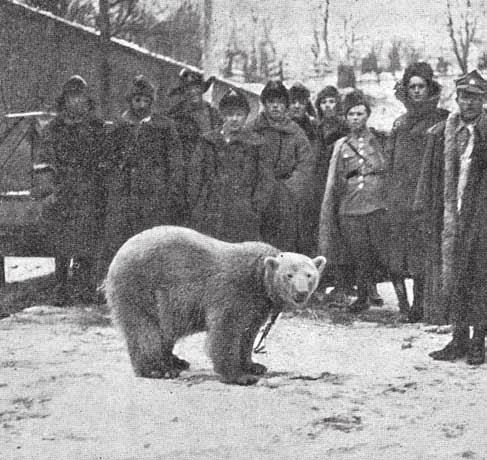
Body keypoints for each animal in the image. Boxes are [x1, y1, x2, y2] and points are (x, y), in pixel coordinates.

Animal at [107, 226, 328, 384]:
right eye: (289, 275)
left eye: (310, 275)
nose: (301, 293)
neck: (259, 277)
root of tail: (117, 256)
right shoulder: (233, 289)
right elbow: (226, 331)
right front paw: (240, 376)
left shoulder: (258, 305)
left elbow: (248, 333)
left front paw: (254, 365)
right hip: (140, 287)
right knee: (145, 329)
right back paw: (158, 369)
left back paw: (176, 360)